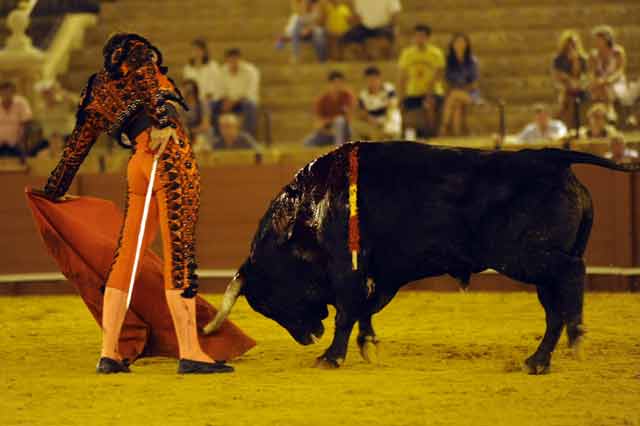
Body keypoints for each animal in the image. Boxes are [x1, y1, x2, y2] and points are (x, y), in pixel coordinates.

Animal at [202, 141, 636, 372]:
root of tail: (553, 159)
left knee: (572, 273)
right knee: (554, 308)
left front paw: (332, 356)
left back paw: (577, 339)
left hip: (525, 256)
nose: (309, 337)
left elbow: (347, 310)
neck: (310, 208)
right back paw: (537, 361)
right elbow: (364, 309)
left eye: (268, 299)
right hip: (538, 267)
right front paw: (367, 346)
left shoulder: (348, 269)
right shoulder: (381, 273)